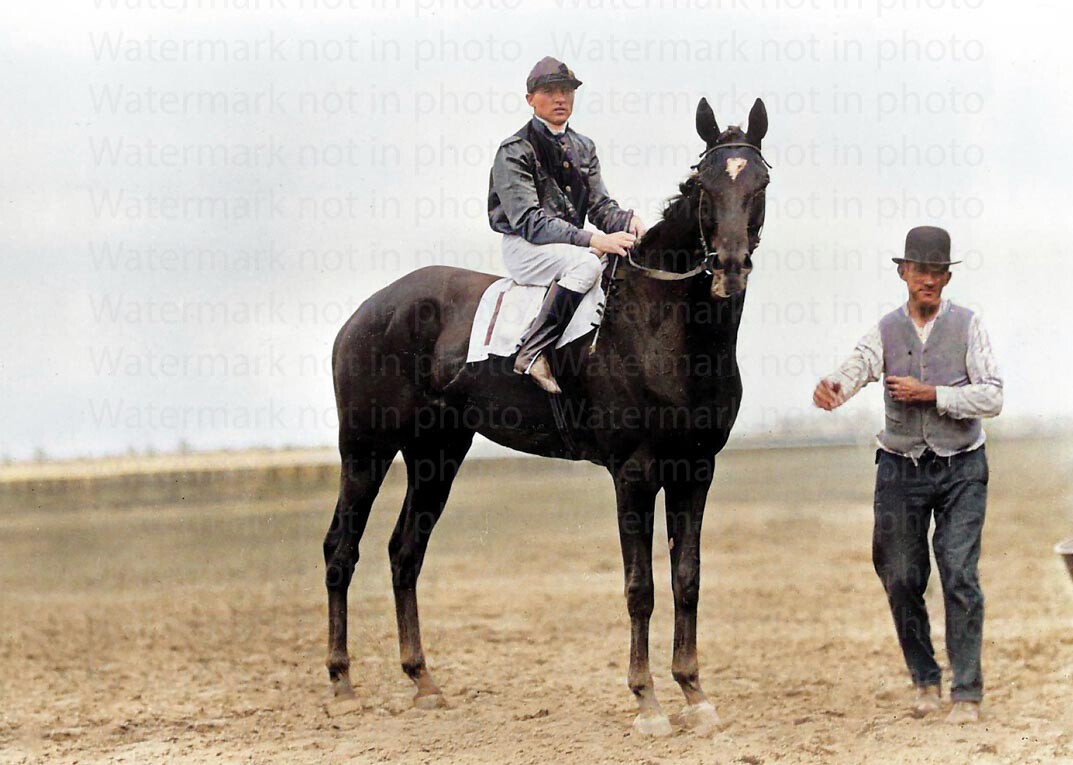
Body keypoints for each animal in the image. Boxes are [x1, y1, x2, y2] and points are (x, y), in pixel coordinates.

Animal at [323, 97, 771, 736]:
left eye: (759, 183)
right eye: (702, 185)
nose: (730, 267)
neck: (665, 324)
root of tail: (368, 310)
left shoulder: (696, 469)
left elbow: (687, 579)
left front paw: (694, 693)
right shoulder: (635, 473)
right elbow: (641, 587)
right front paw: (647, 701)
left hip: (437, 454)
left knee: (404, 553)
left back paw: (423, 681)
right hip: (366, 448)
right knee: (342, 548)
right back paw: (341, 682)